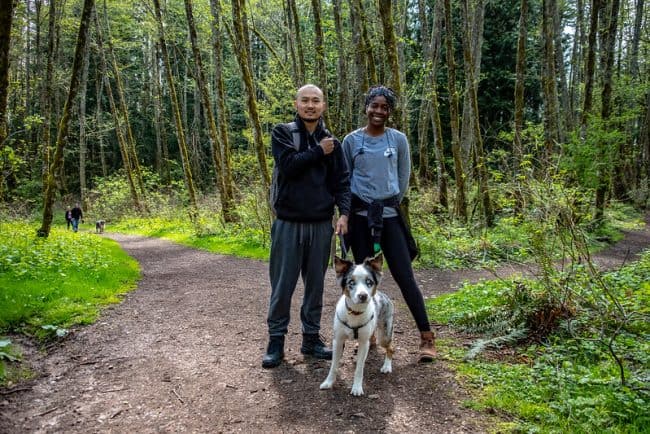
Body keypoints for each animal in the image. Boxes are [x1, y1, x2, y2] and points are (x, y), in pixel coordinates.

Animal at [320, 254, 394, 396]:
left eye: (369, 282)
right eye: (351, 283)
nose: (363, 295)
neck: (355, 312)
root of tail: (384, 295)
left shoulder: (363, 342)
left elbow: (360, 368)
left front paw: (357, 387)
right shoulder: (338, 341)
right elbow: (333, 365)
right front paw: (328, 382)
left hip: (384, 335)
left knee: (391, 348)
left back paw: (387, 366)